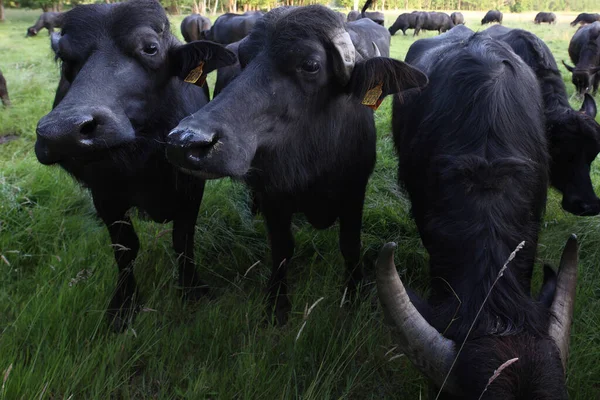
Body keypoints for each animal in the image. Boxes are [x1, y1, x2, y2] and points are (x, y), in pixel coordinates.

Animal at [32, 0, 234, 332]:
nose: (63, 133)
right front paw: (123, 304)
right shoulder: (105, 194)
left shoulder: (191, 186)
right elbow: (125, 248)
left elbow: (183, 240)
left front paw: (192, 289)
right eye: (65, 57)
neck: (144, 158)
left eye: (150, 48)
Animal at [164, 5, 426, 324]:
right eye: (245, 59)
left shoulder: (355, 191)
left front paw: (353, 293)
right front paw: (277, 303)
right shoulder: (273, 195)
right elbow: (282, 248)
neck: (314, 160)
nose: (185, 141)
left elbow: (350, 244)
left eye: (311, 65)